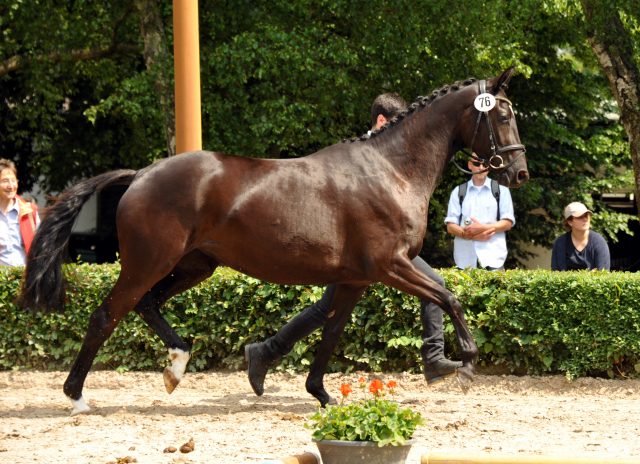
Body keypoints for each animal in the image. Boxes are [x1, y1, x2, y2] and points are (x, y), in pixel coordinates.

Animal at [21, 64, 528, 414]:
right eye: (501, 115)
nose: (518, 173)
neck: (390, 169)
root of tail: (142, 174)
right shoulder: (391, 266)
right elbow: (448, 297)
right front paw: (466, 364)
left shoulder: (356, 280)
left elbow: (331, 333)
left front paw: (321, 394)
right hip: (148, 262)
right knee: (106, 316)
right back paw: (77, 397)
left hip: (193, 265)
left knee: (148, 305)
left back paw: (178, 365)